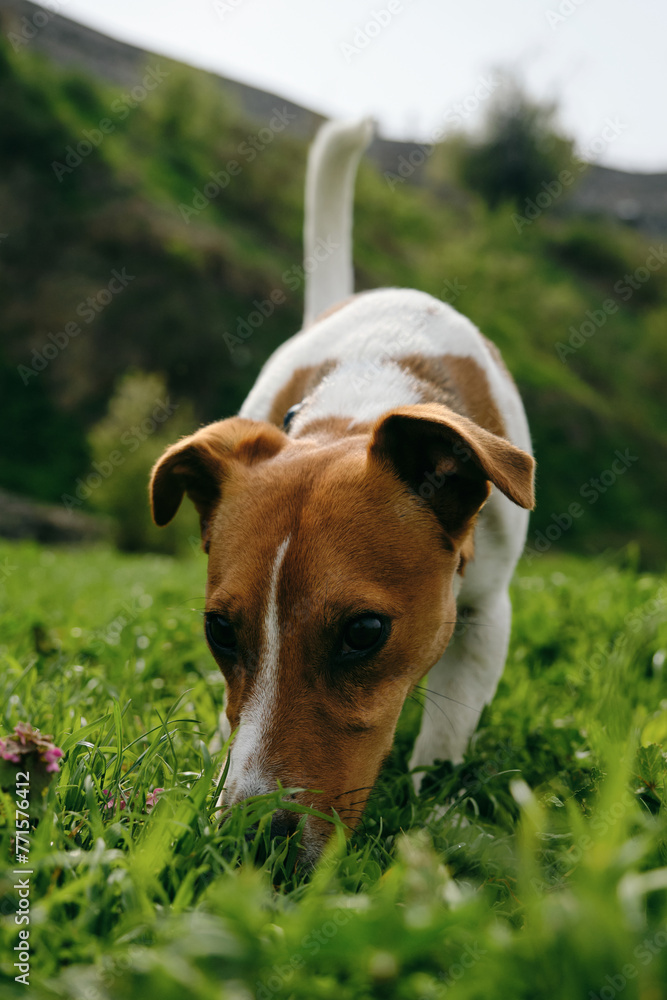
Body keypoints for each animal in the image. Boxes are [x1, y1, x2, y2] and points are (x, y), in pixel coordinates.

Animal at [149, 117, 536, 864]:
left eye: (363, 633)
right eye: (218, 631)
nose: (250, 841)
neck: (362, 400)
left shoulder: (486, 612)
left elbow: (445, 737)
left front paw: (434, 810)